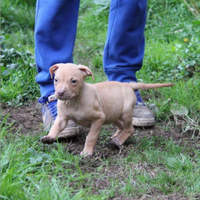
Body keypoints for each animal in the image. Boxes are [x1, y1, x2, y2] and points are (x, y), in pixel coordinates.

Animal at [40, 63, 173, 155]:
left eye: (73, 81)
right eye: (56, 80)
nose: (60, 93)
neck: (74, 101)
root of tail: (127, 84)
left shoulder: (98, 119)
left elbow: (91, 136)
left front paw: (87, 152)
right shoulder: (62, 118)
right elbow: (56, 127)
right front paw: (49, 137)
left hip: (125, 113)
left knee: (130, 129)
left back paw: (119, 141)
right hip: (112, 115)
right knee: (121, 126)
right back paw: (116, 137)